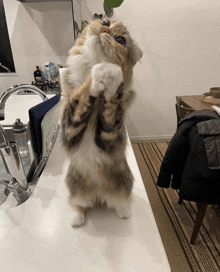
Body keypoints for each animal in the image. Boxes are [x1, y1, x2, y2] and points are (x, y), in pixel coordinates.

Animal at [60, 19, 143, 227]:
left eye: (120, 40)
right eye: (105, 21)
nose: (104, 27)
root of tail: (98, 196)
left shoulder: (109, 135)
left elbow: (111, 104)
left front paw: (109, 72)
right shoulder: (69, 130)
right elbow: (81, 94)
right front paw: (98, 72)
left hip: (124, 186)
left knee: (121, 203)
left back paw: (124, 213)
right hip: (75, 189)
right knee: (77, 204)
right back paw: (76, 219)